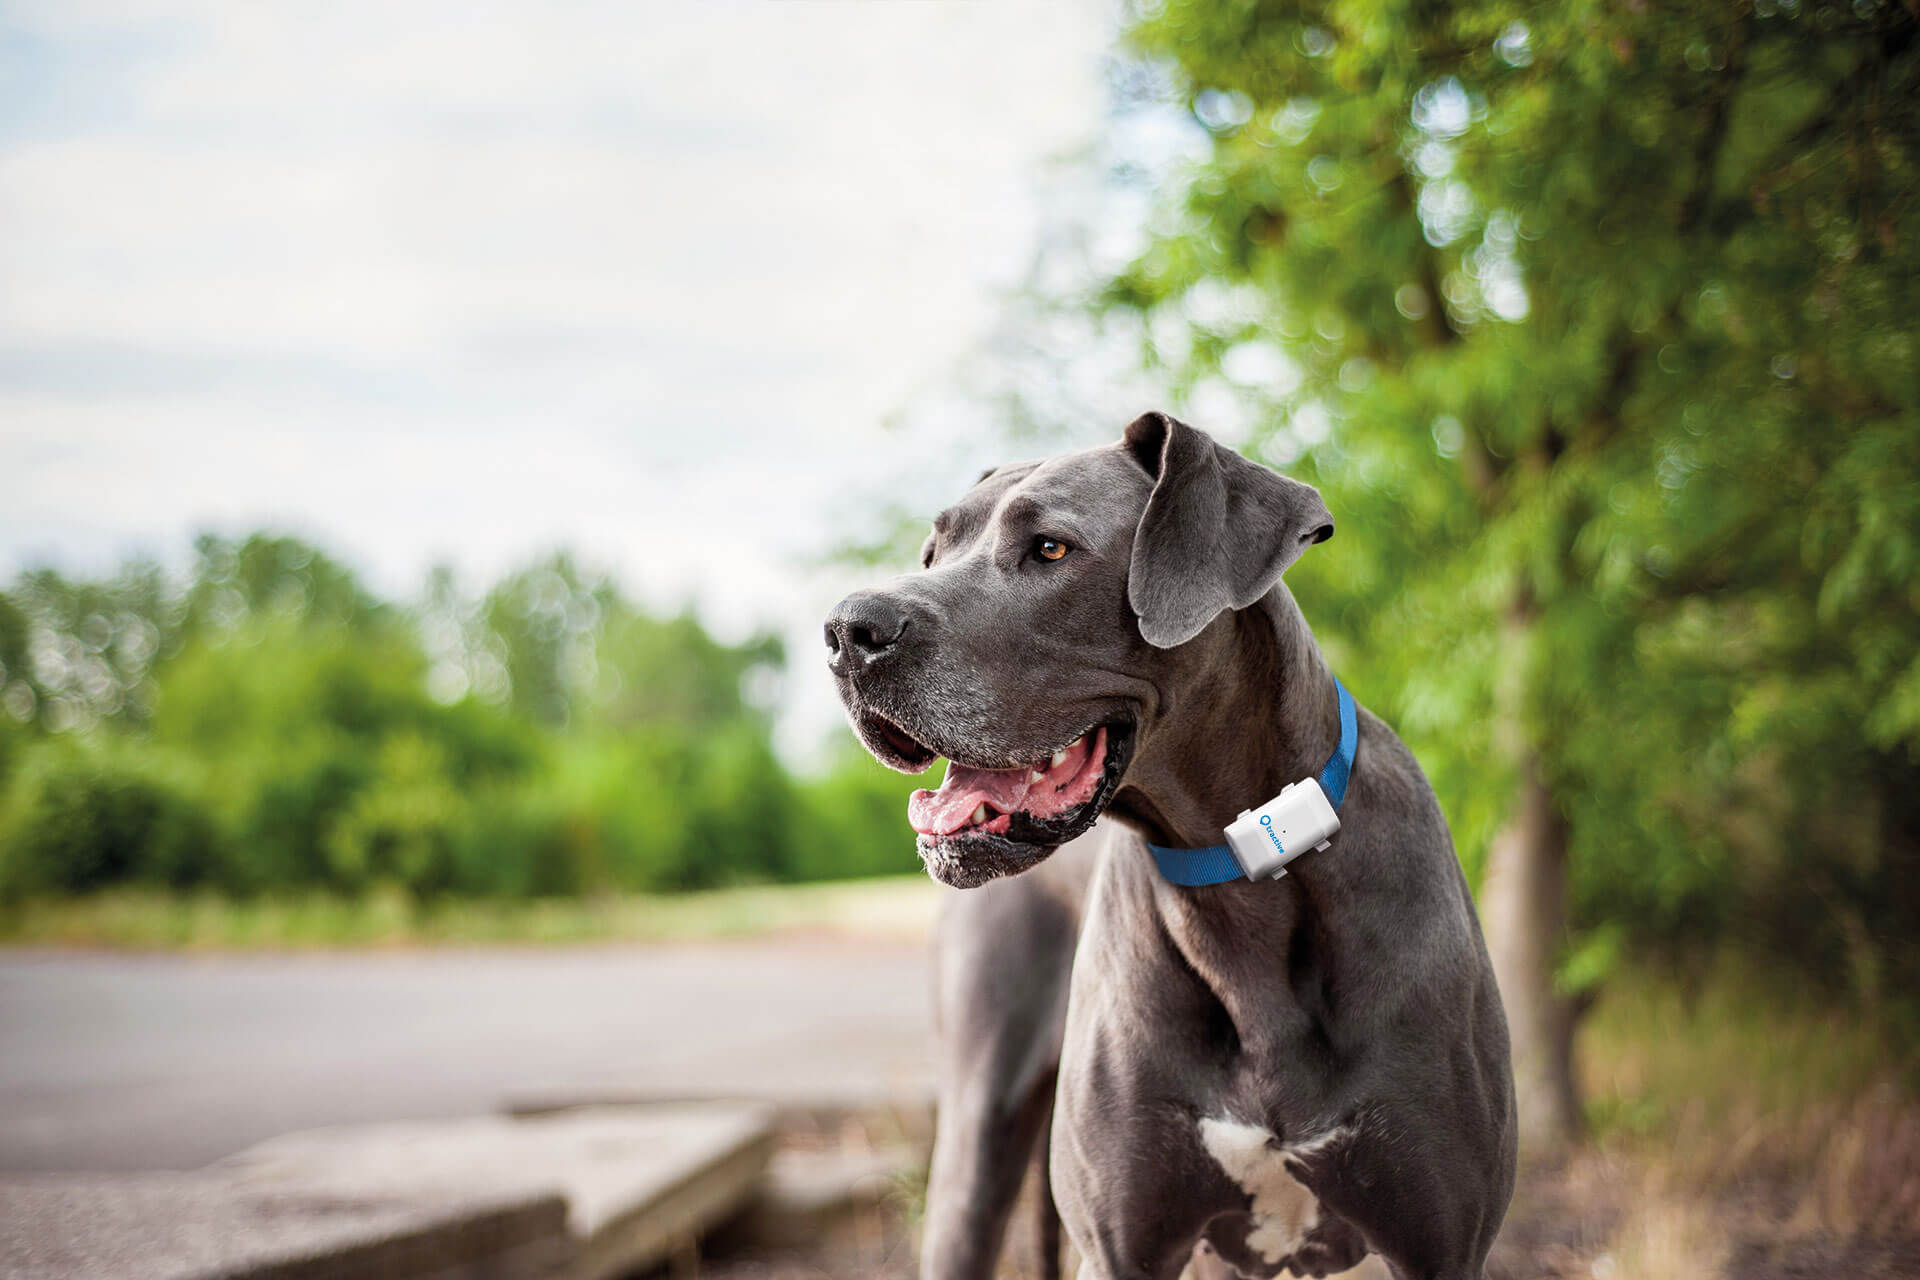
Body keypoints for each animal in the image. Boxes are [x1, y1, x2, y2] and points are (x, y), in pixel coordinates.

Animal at [825, 416, 1512, 1274]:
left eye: (1051, 548)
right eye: (931, 555)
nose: (846, 630)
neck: (1240, 875)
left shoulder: (1443, 1247)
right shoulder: (1121, 1246)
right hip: (972, 1154)